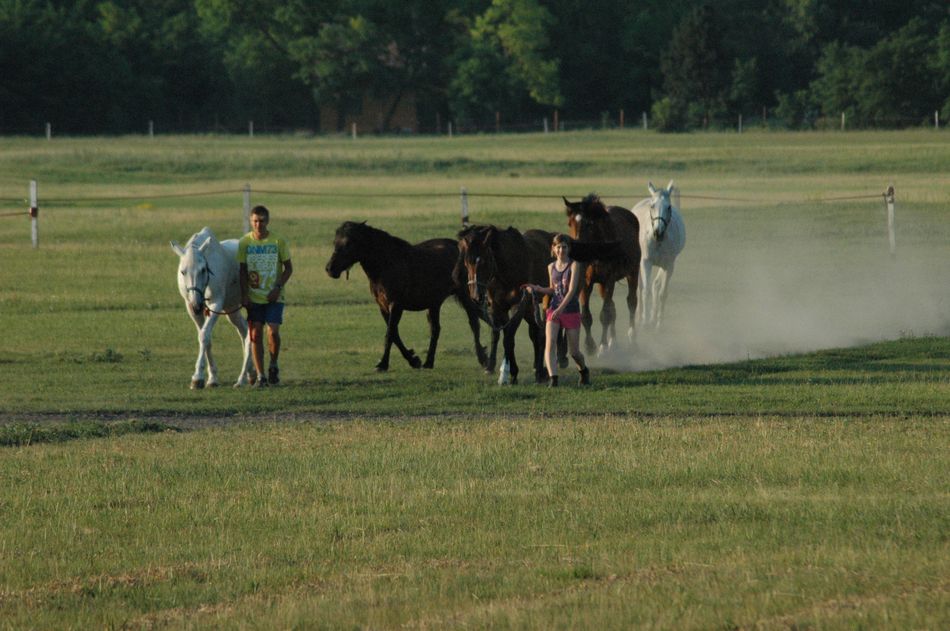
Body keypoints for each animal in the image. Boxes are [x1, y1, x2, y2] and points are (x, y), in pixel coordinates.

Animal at [170, 227, 253, 389]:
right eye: (183, 271)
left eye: (203, 270)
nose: (197, 304)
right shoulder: (192, 309)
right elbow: (205, 337)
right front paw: (212, 378)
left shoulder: (216, 304)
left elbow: (204, 335)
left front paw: (197, 377)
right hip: (231, 309)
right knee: (244, 330)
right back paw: (249, 373)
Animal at [325, 221, 487, 372]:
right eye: (335, 242)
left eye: (348, 243)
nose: (330, 269)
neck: (386, 264)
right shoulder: (383, 306)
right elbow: (395, 334)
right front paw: (414, 360)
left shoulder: (396, 304)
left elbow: (390, 334)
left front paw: (382, 364)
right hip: (434, 304)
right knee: (435, 329)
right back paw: (428, 362)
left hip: (466, 297)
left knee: (474, 324)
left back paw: (482, 359)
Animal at [454, 225, 553, 384]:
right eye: (466, 262)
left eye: (484, 261)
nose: (476, 296)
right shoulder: (497, 307)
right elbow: (499, 335)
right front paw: (497, 368)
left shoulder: (518, 305)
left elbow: (508, 337)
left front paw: (510, 373)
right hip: (530, 307)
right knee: (535, 331)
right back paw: (539, 369)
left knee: (542, 332)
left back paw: (540, 371)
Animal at [563, 193, 641, 354]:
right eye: (570, 223)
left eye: (589, 224)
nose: (577, 251)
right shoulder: (586, 282)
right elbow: (586, 316)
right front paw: (590, 345)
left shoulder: (609, 279)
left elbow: (605, 314)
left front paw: (603, 346)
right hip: (601, 285)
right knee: (613, 307)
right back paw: (613, 341)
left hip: (633, 272)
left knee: (631, 301)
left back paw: (632, 337)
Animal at [632, 180, 686, 329]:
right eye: (652, 206)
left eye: (669, 207)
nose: (658, 232)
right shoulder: (646, 262)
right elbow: (645, 292)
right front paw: (644, 323)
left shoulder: (669, 265)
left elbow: (662, 293)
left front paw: (658, 324)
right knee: (640, 288)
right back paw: (639, 317)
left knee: (656, 285)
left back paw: (652, 317)